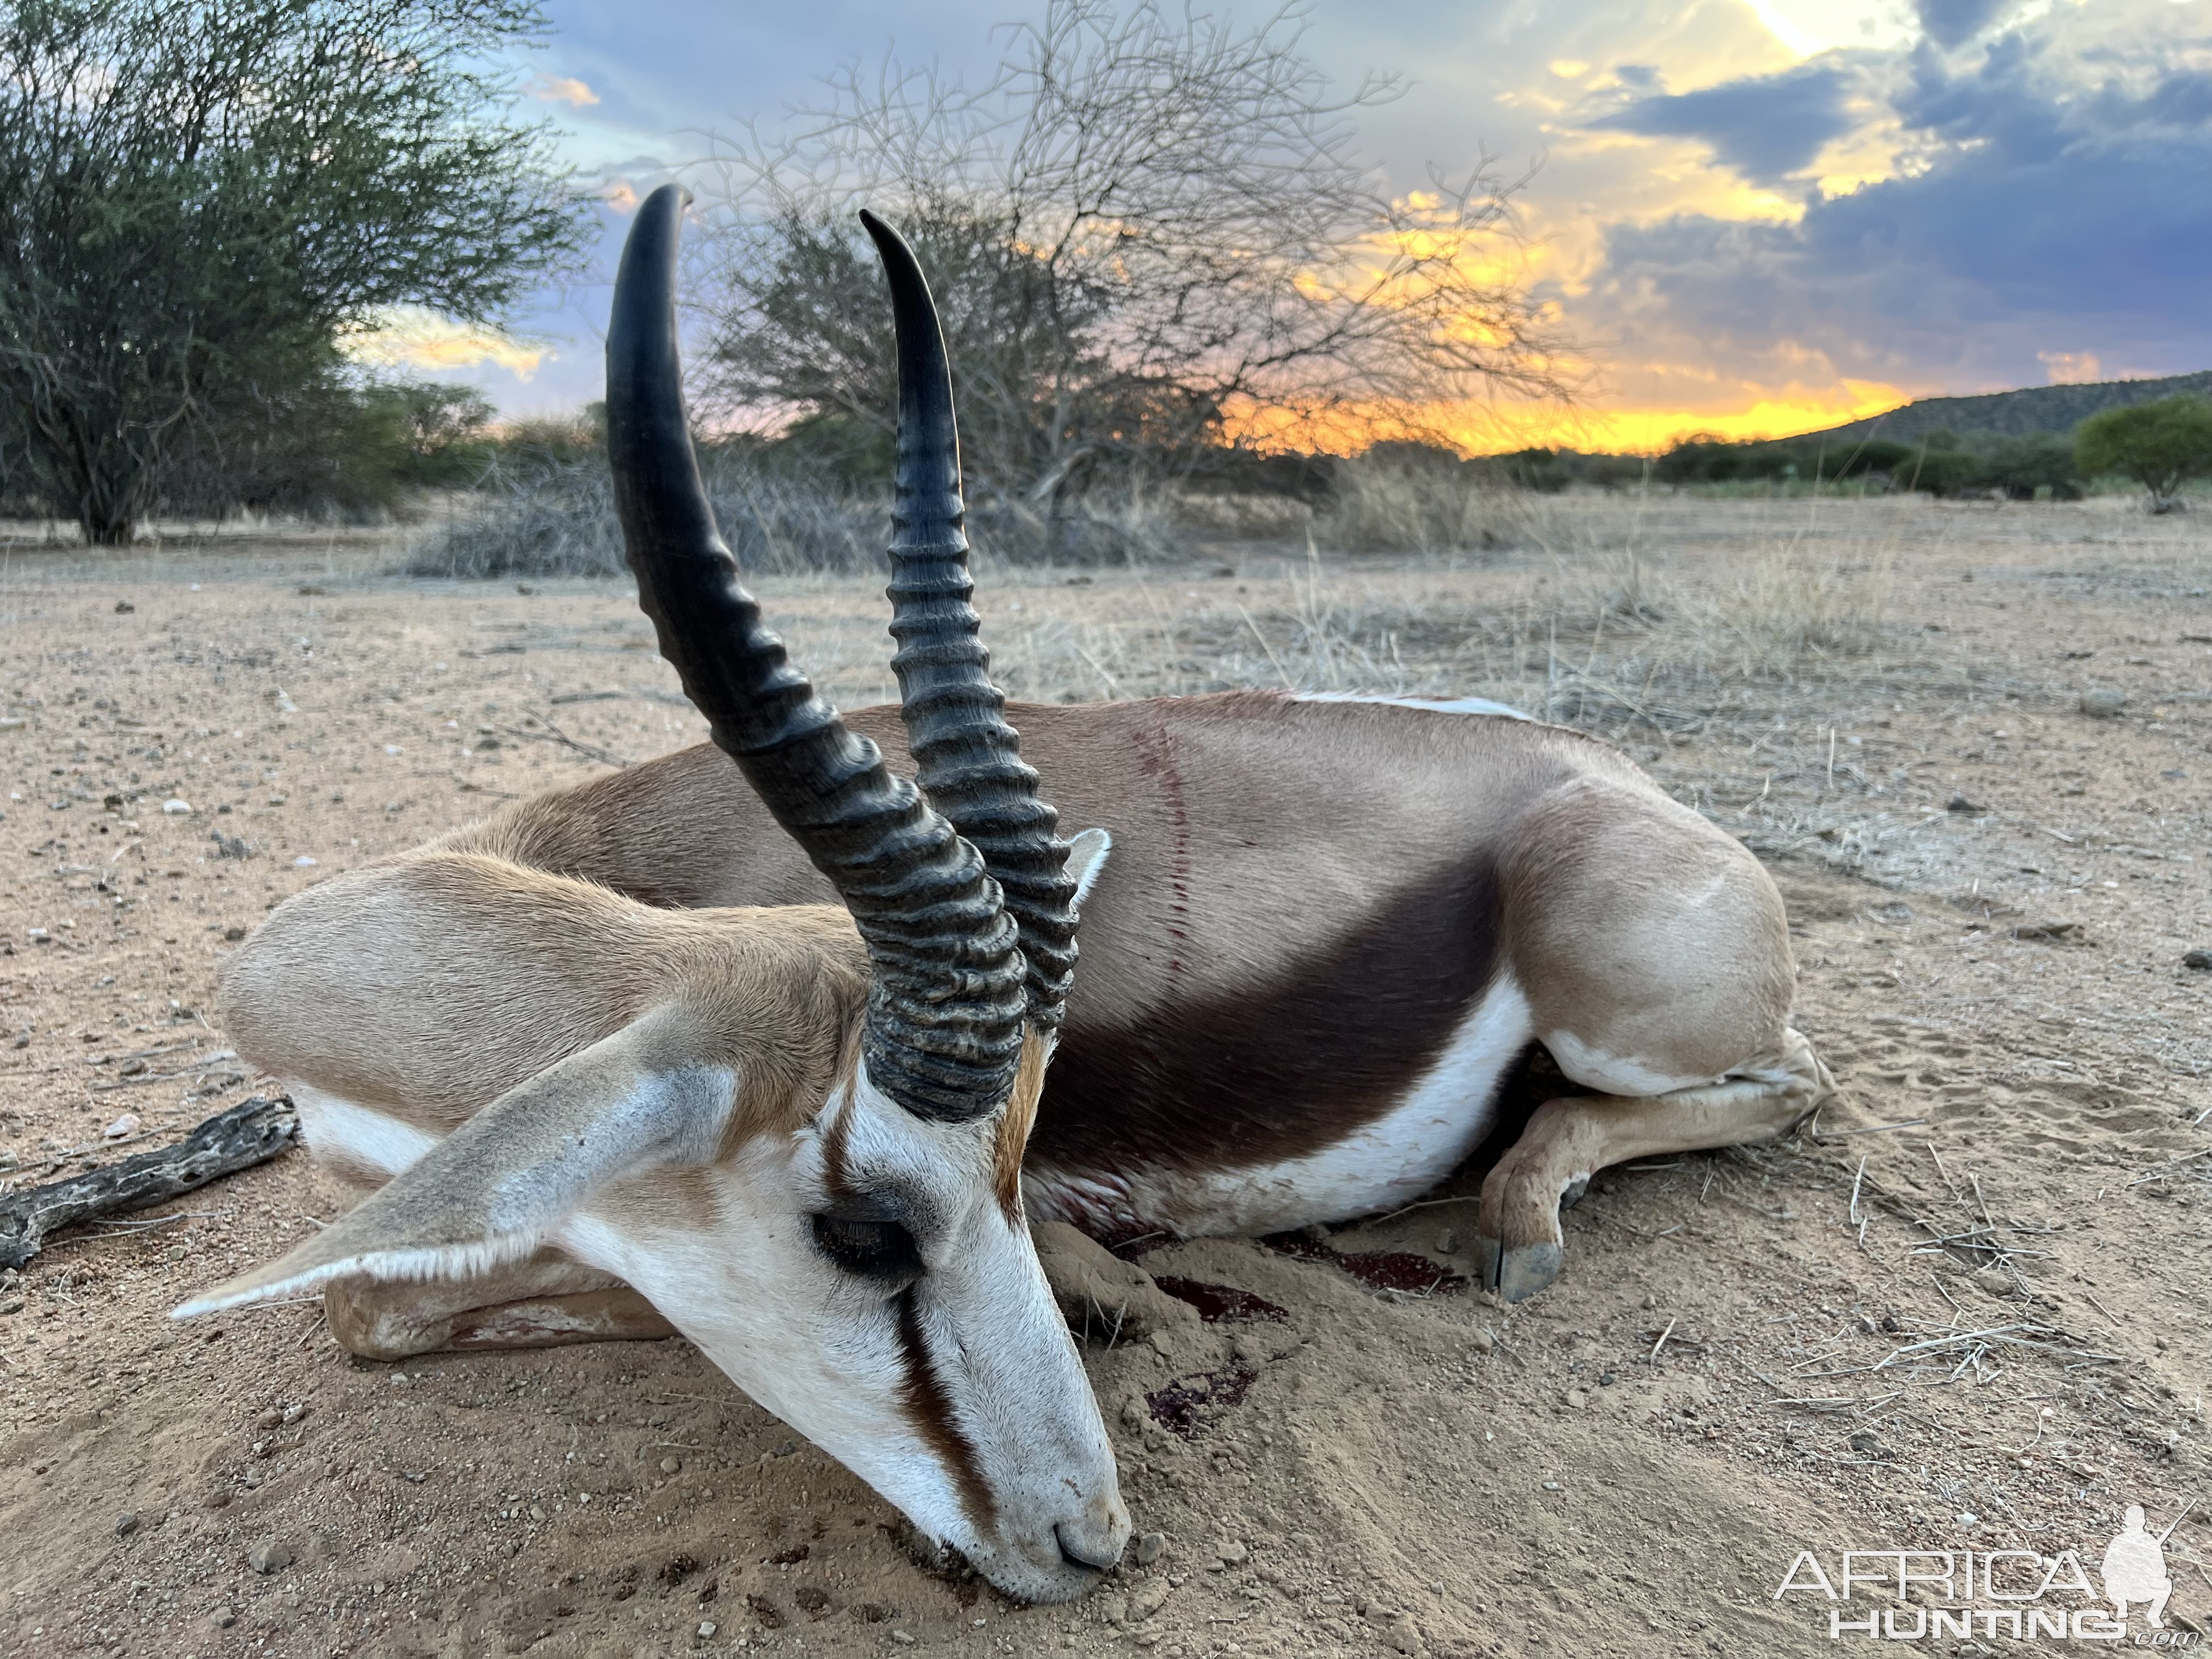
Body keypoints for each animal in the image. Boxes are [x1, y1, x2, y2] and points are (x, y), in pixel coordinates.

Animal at [177, 188, 1831, 1601]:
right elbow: (379, 1295)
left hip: (1633, 1010)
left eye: (1015, 1170)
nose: (1089, 1540)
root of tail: (1604, 771)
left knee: (1798, 1085)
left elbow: (393, 1298)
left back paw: (1517, 1219)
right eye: (864, 1235)